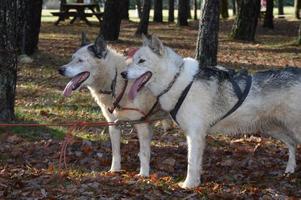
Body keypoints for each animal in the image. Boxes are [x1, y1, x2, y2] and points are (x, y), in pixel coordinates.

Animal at [58, 34, 171, 177]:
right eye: (72, 58)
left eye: (80, 60)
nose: (60, 70)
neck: (116, 81)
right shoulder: (114, 125)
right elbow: (116, 153)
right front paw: (115, 170)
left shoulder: (142, 125)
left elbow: (145, 153)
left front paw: (144, 175)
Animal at [122, 35, 300, 188]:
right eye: (132, 61)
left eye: (141, 61)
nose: (123, 74)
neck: (176, 79)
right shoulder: (196, 136)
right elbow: (195, 164)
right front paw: (195, 183)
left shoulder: (195, 135)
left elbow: (191, 163)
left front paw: (188, 185)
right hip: (273, 129)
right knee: (292, 144)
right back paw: (289, 169)